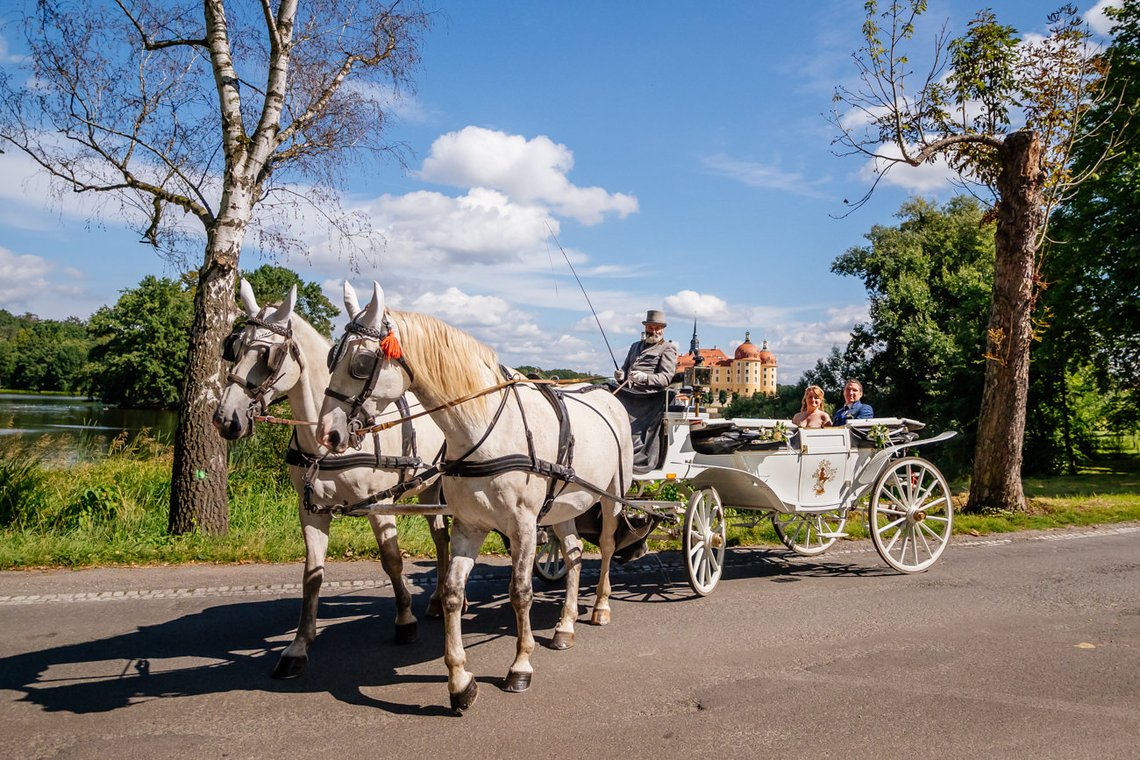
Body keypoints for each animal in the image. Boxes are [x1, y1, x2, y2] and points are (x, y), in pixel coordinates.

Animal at [213, 282, 449, 679]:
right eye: (235, 347)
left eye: (268, 356)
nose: (226, 419)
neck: (325, 446)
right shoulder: (310, 509)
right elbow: (312, 574)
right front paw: (298, 646)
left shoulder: (380, 505)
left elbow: (392, 561)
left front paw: (404, 621)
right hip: (429, 488)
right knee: (441, 539)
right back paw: (437, 598)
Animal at [319, 279, 633, 715]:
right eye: (332, 356)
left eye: (362, 362)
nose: (327, 433)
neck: (485, 427)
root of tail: (610, 394)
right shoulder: (469, 524)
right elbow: (453, 592)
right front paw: (459, 680)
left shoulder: (523, 527)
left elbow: (520, 593)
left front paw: (520, 665)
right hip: (562, 507)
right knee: (571, 553)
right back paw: (565, 625)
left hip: (611, 497)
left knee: (604, 547)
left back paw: (600, 606)